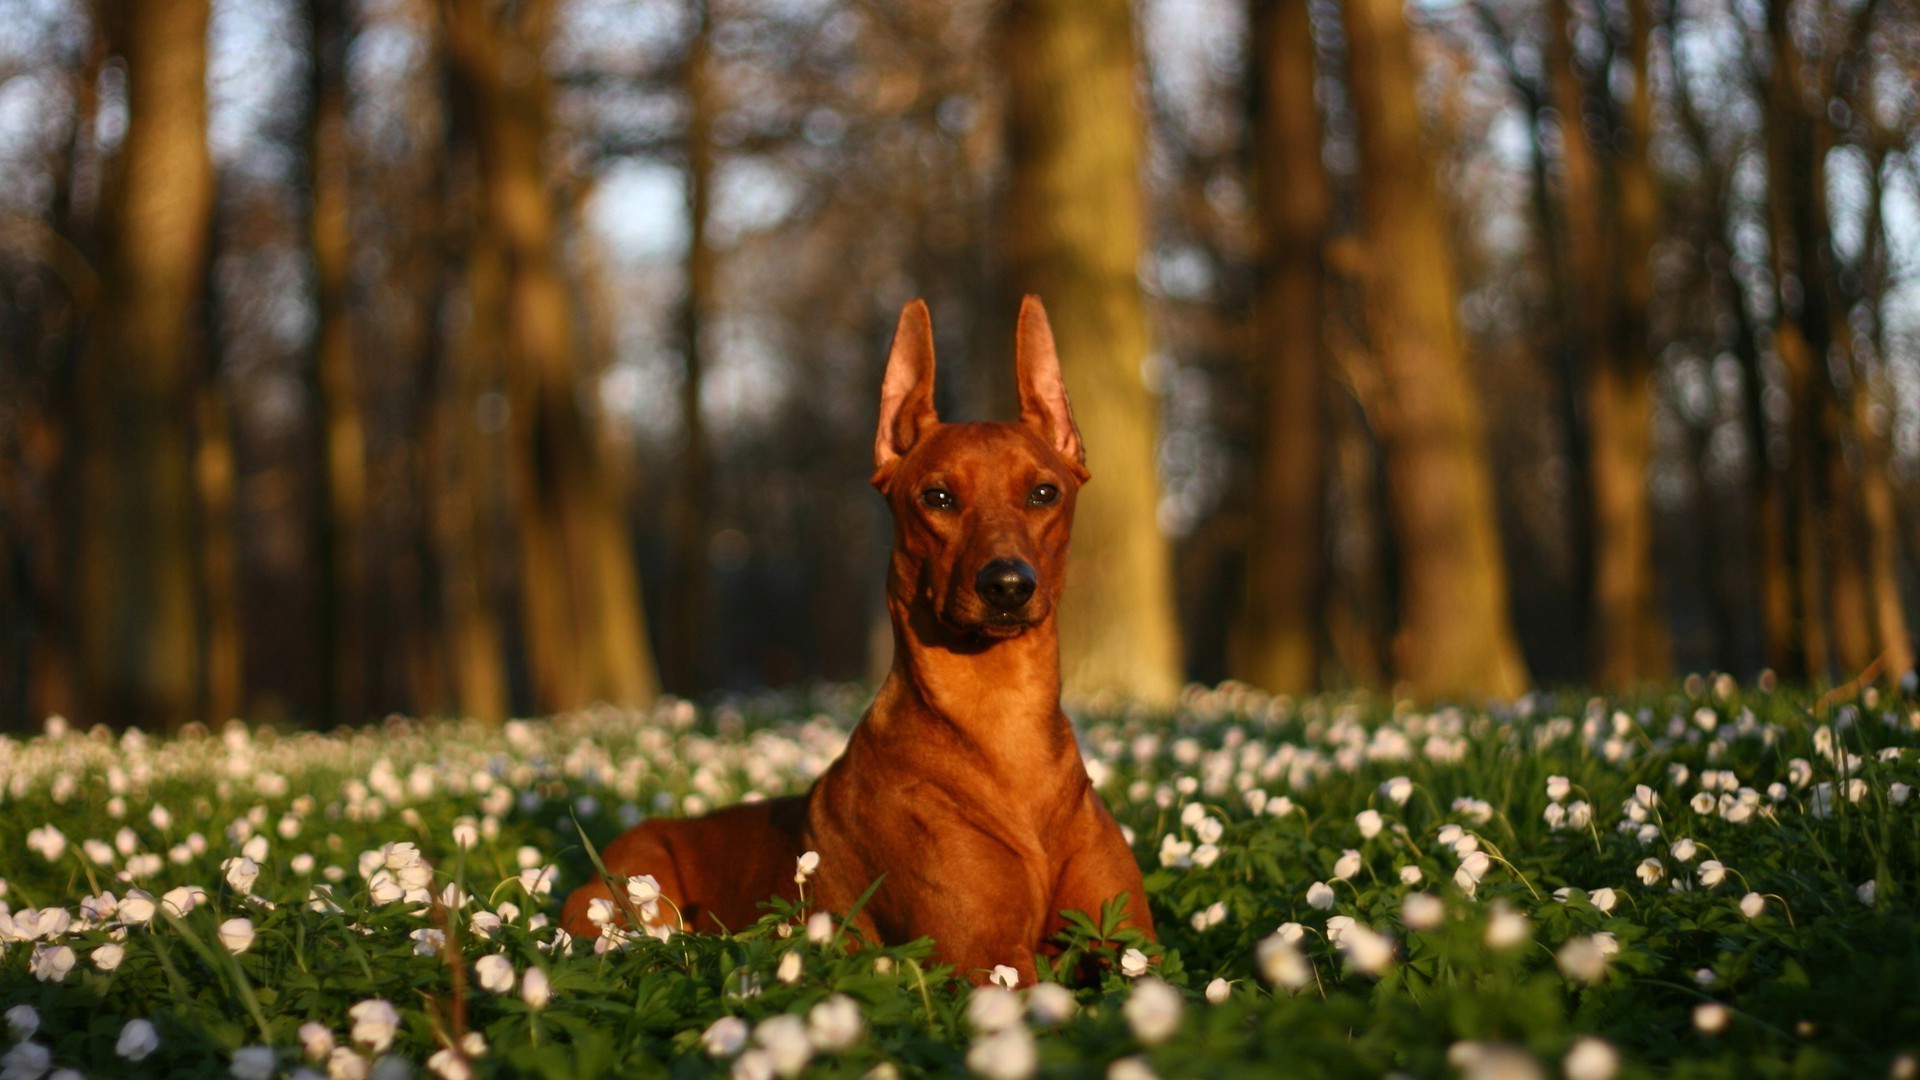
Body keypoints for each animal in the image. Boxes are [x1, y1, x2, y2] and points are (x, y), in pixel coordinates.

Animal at [556, 295, 1152, 983]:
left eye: (1044, 492)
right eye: (938, 497)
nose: (1007, 584)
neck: (1004, 719)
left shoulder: (1134, 949)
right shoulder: (989, 961)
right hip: (637, 902)